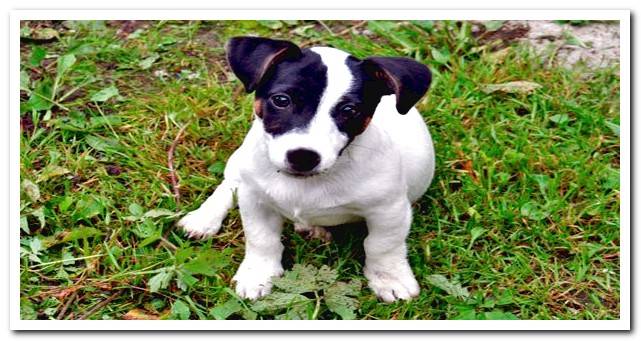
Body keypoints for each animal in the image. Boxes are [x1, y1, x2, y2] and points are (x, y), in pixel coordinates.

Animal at [178, 36, 432, 302]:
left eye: (350, 111)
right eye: (281, 100)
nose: (303, 156)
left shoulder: (389, 210)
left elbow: (382, 245)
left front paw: (390, 279)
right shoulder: (255, 199)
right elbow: (261, 238)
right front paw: (258, 273)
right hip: (241, 162)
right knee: (229, 184)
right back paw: (204, 218)